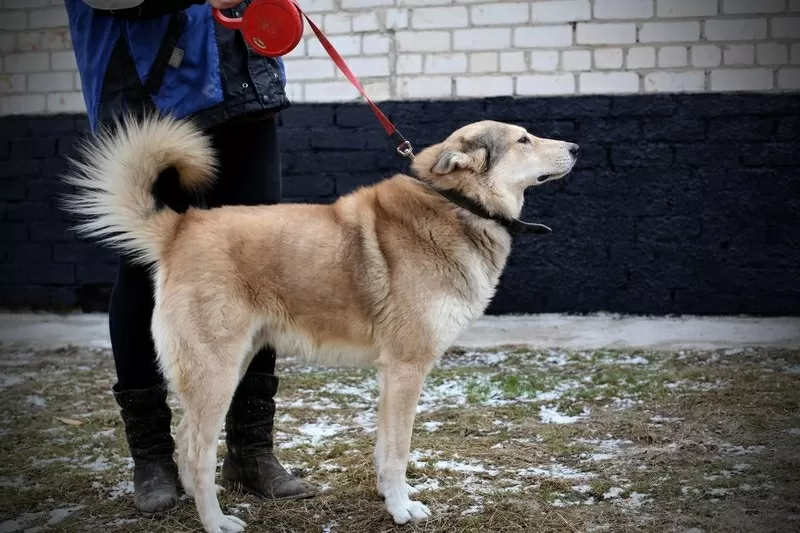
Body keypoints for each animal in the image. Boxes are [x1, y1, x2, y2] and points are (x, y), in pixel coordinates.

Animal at [61, 113, 576, 532]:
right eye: (524, 139)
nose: (575, 147)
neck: (459, 204)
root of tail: (181, 227)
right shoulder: (406, 369)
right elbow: (398, 452)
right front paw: (402, 510)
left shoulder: (390, 375)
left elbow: (384, 449)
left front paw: (389, 498)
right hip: (217, 371)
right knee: (195, 450)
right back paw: (215, 521)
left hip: (233, 365)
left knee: (188, 436)